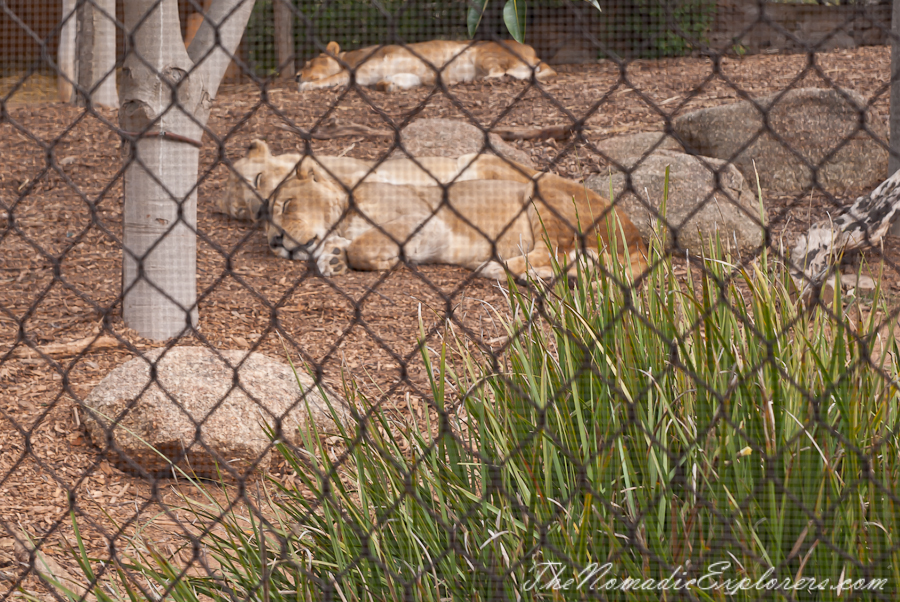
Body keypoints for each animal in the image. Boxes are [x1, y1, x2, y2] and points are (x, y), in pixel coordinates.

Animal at [260, 154, 648, 278]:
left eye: (286, 205)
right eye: (266, 228)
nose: (275, 241)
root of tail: (639, 241)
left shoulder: (421, 215)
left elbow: (366, 243)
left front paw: (356, 258)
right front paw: (333, 258)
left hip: (536, 193)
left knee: (551, 251)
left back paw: (492, 267)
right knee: (568, 261)